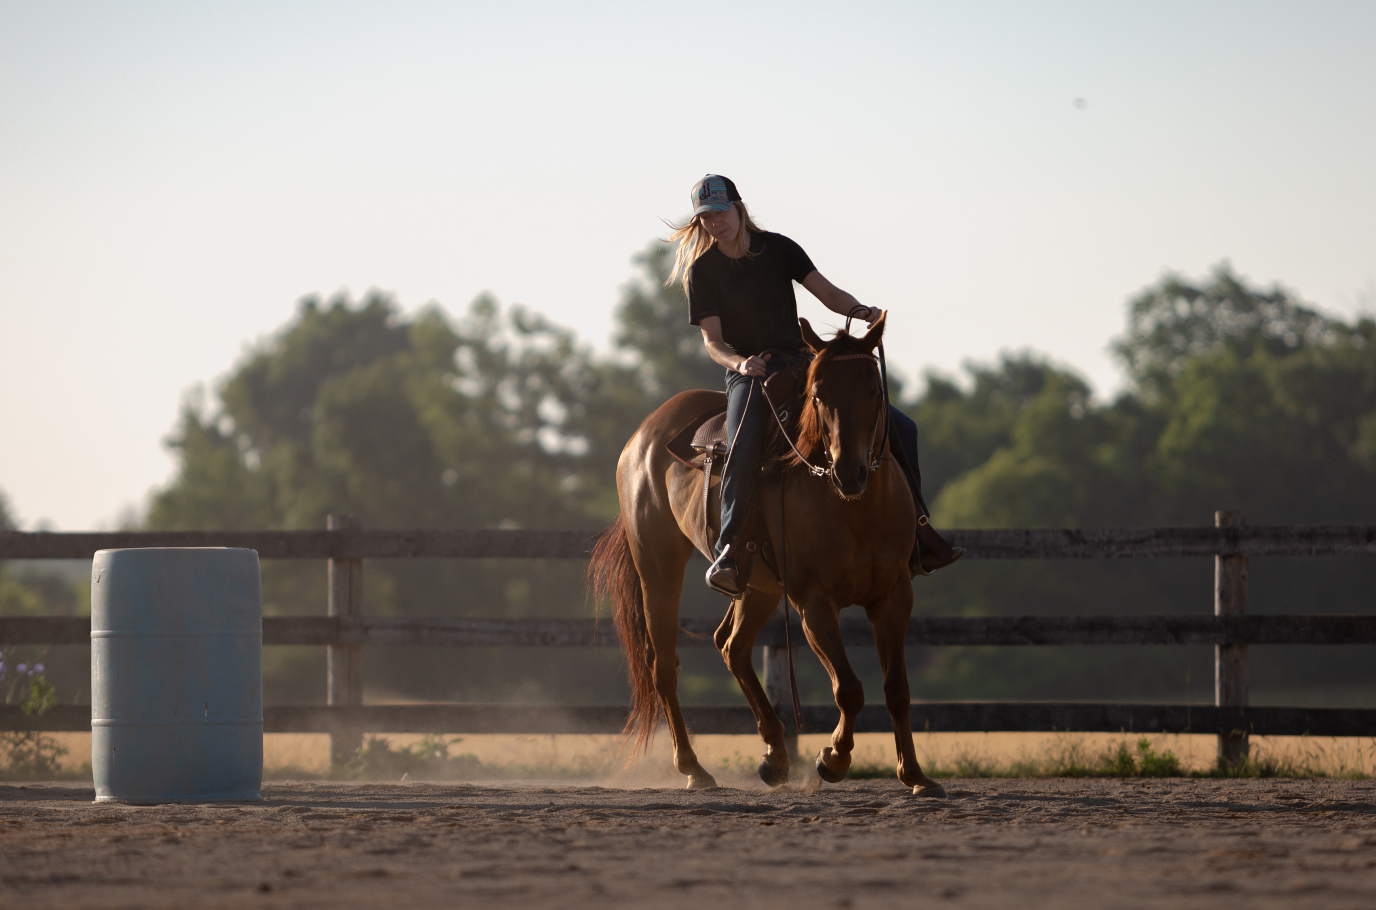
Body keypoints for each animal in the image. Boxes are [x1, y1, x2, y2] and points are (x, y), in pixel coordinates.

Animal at [586, 313, 952, 792]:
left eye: (875, 390)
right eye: (818, 394)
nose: (849, 472)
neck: (855, 510)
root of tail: (644, 433)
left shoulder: (894, 597)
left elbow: (897, 689)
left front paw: (915, 775)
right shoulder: (813, 603)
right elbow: (849, 688)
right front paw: (832, 759)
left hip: (757, 587)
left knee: (732, 646)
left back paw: (775, 755)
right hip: (659, 568)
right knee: (663, 666)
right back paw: (695, 768)